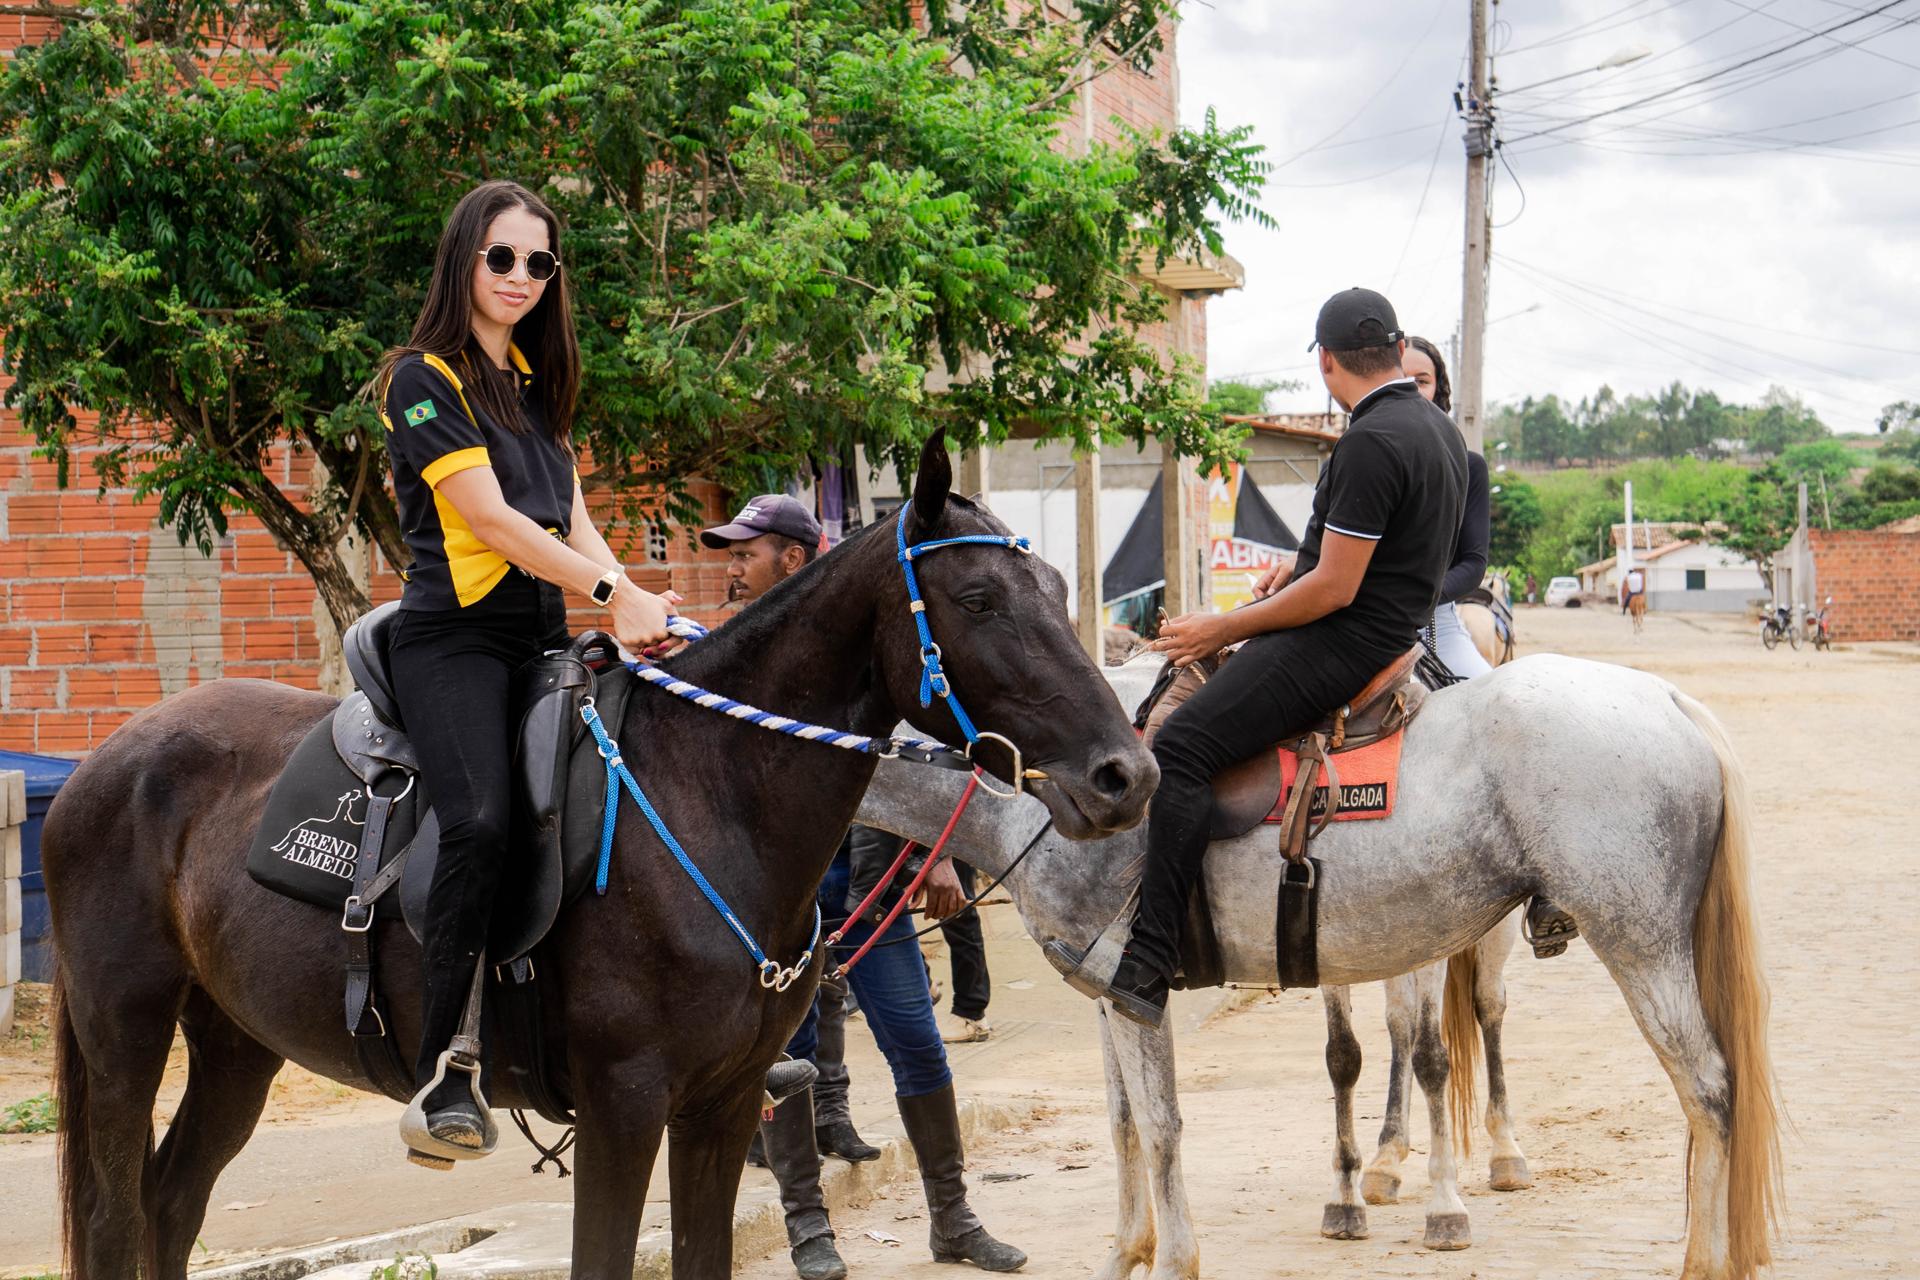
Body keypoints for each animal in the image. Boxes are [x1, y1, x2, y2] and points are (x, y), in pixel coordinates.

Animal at [40, 437, 1158, 1280]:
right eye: (978, 599)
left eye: (1057, 583)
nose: (1126, 775)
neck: (712, 791)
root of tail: (100, 766)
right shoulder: (625, 1109)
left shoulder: (722, 1106)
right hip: (125, 1031)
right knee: (112, 1218)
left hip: (235, 1040)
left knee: (171, 1201)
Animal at [858, 650, 1781, 1280]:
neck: (1042, 792)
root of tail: (1665, 699)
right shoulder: (1106, 995)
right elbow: (1122, 1127)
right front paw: (1126, 1253)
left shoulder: (1134, 992)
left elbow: (1160, 1129)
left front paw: (1173, 1259)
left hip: (1636, 941)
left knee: (1705, 1088)